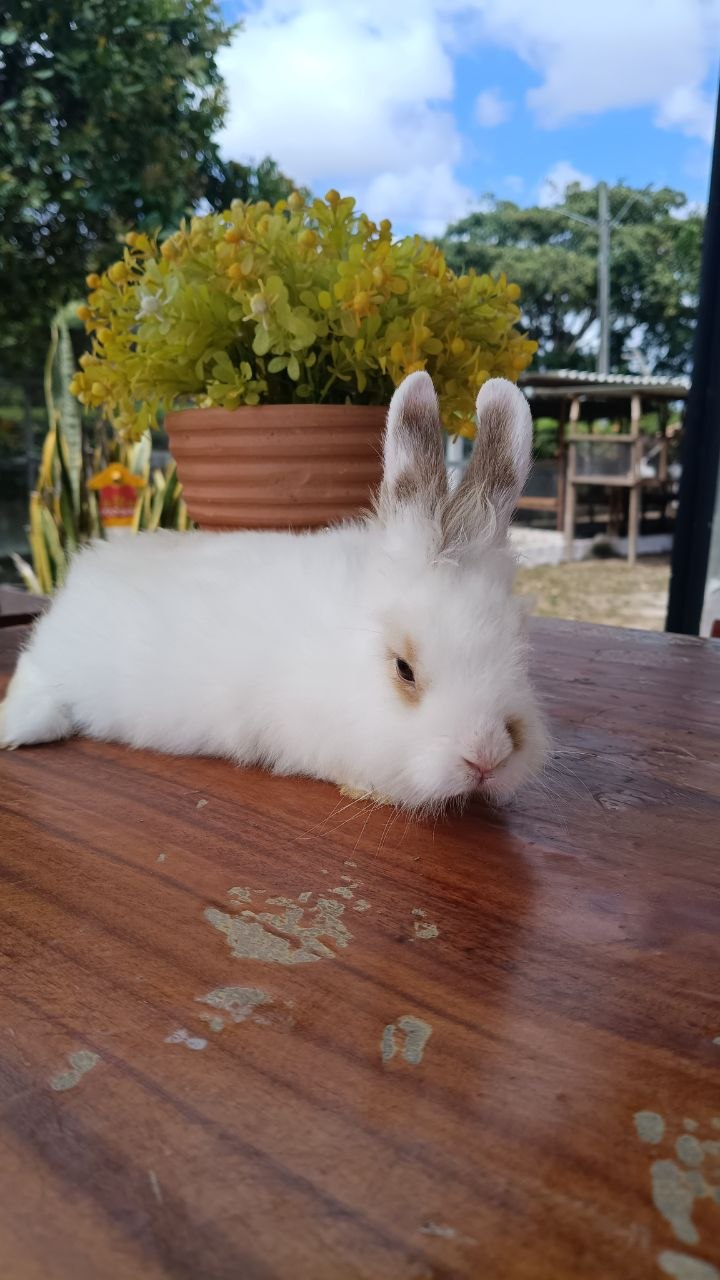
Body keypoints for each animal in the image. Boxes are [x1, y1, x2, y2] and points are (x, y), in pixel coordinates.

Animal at [0, 372, 549, 810]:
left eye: (520, 649)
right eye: (404, 669)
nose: (486, 757)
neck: (344, 651)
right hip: (61, 663)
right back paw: (16, 729)